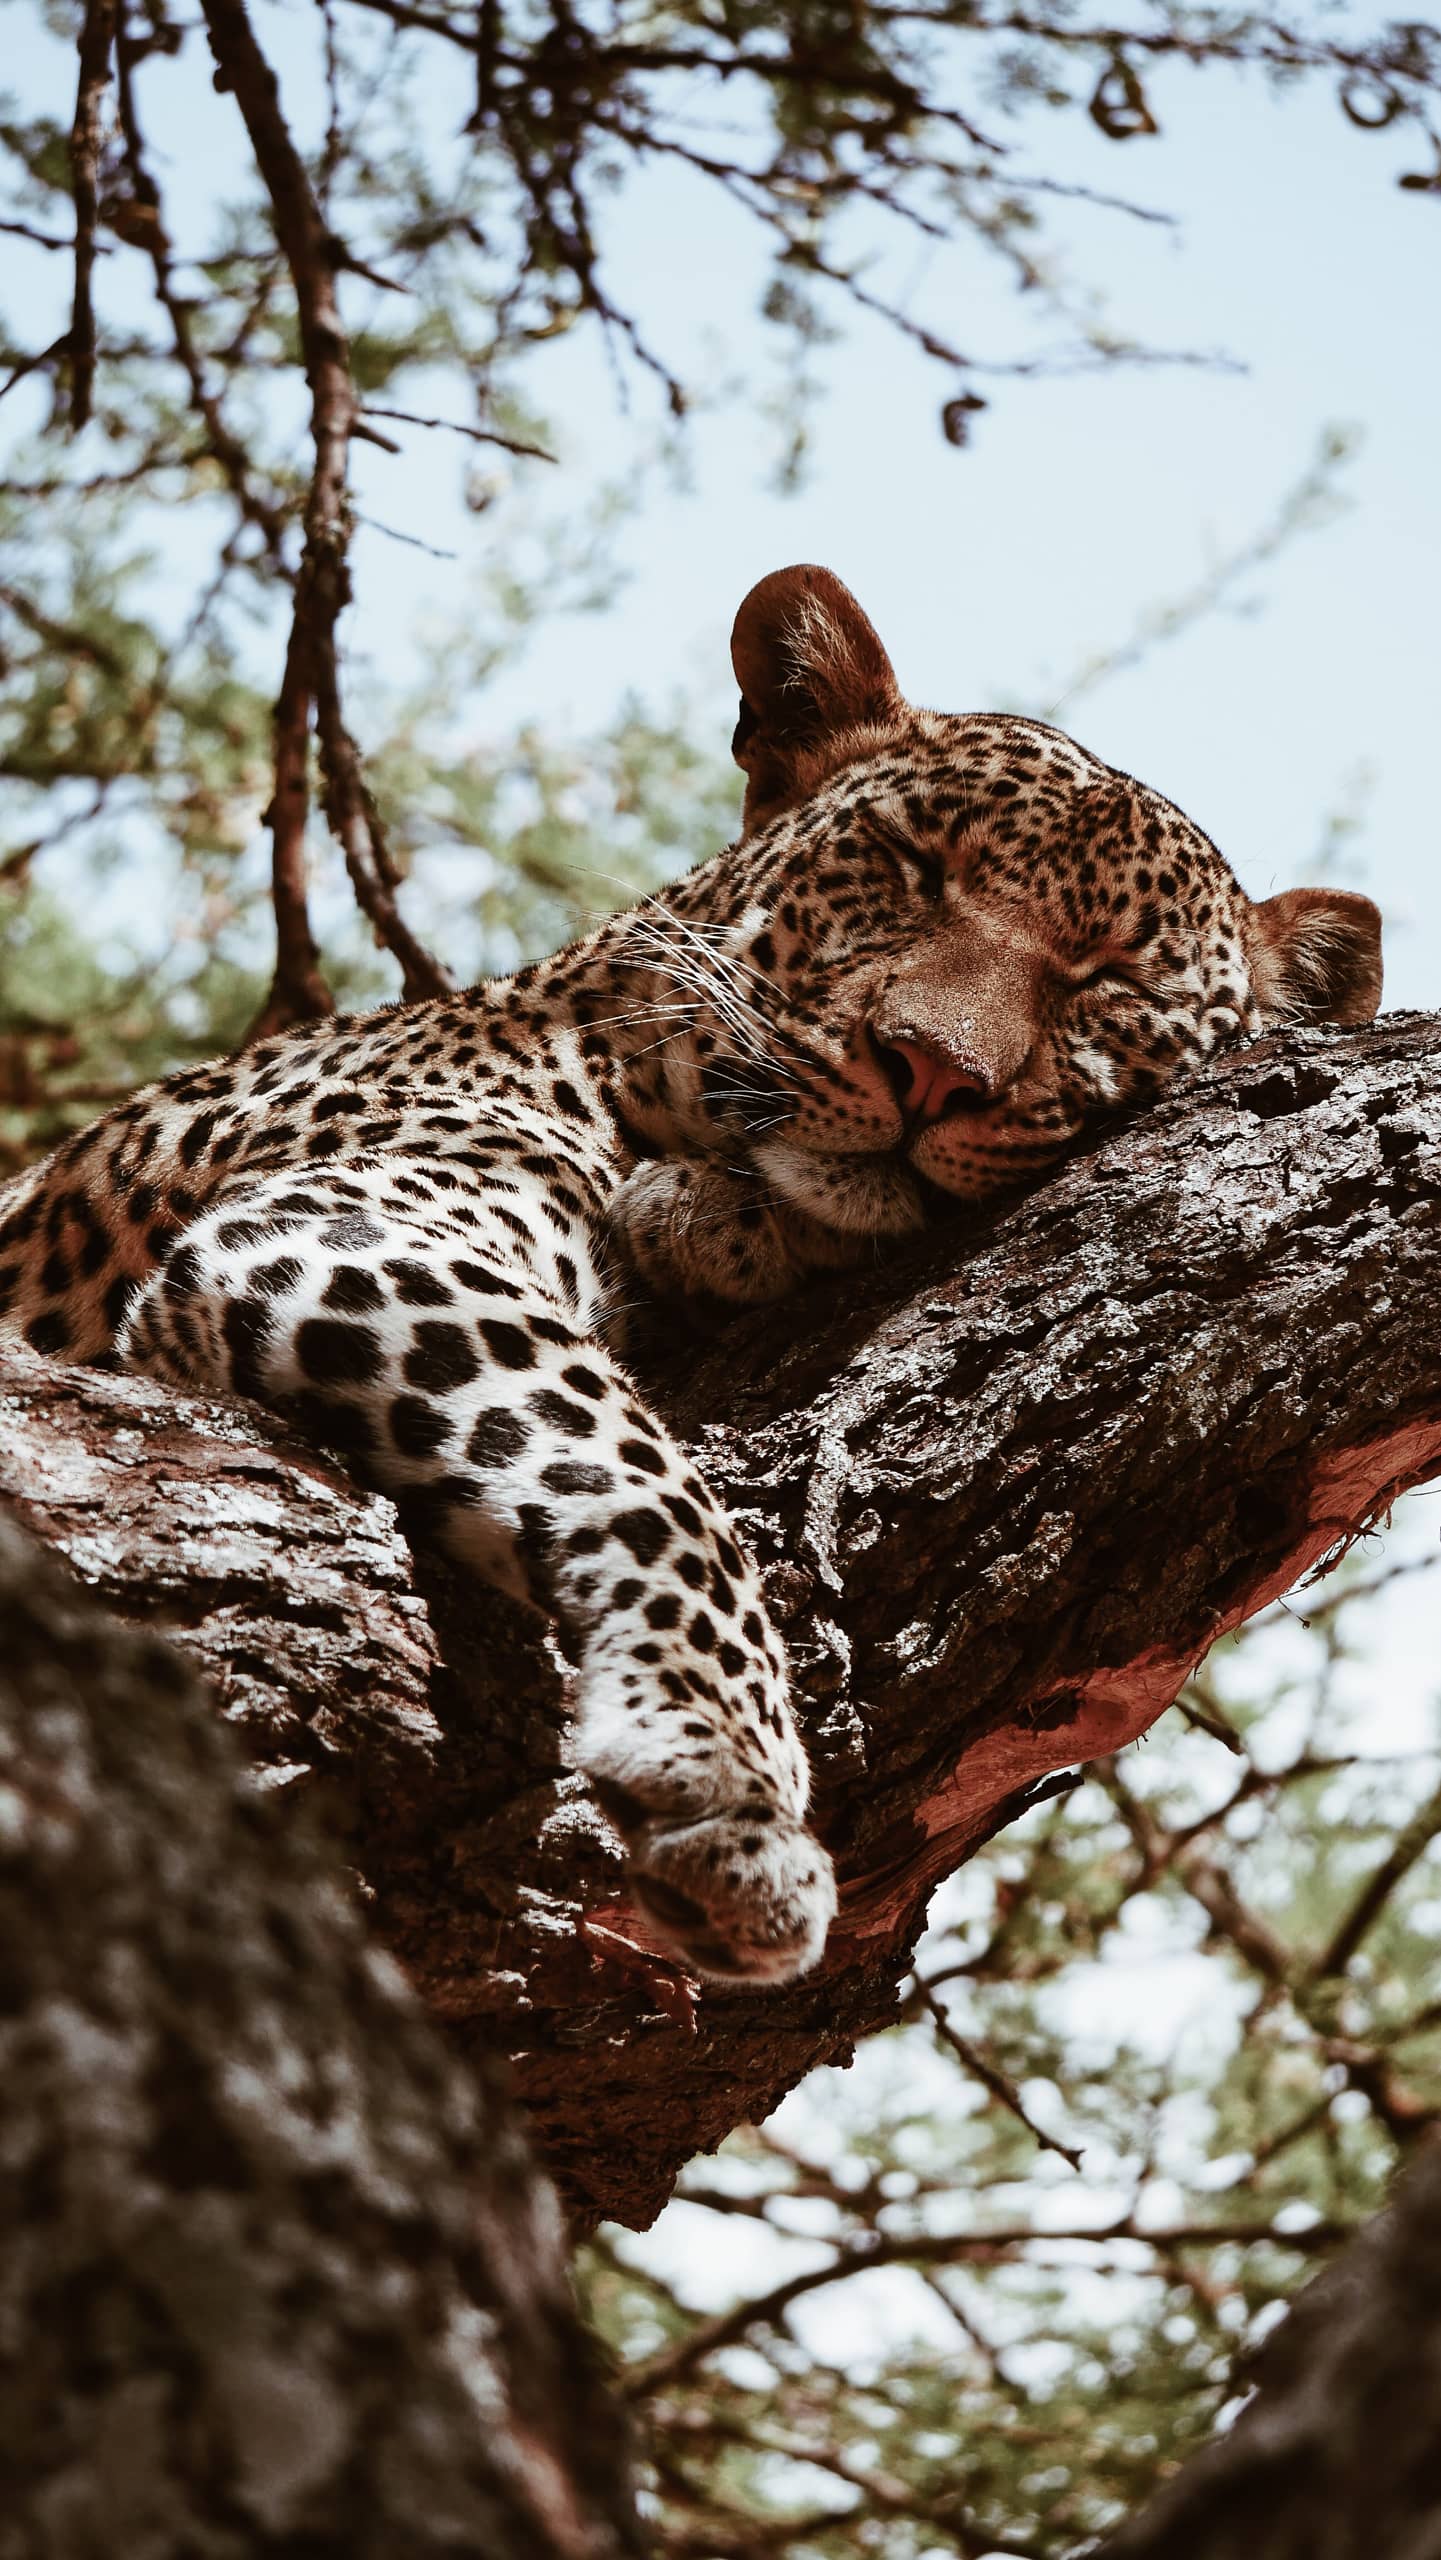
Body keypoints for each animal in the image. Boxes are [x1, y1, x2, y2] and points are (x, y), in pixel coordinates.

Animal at [0, 570, 1382, 1986]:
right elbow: (637, 1472)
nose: (930, 1067)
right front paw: (726, 1778)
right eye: (912, 867)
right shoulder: (344, 1222)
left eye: (1110, 981)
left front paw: (705, 1226)